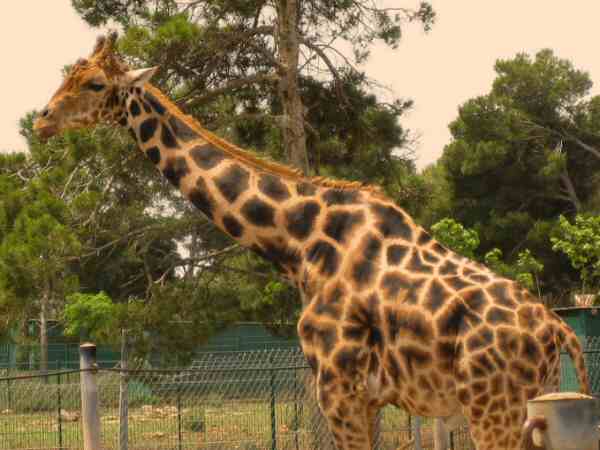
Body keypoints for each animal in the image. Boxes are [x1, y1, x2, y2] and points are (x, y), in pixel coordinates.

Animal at [31, 32, 584, 450]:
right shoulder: (367, 396)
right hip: (535, 398)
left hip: (494, 408)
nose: (41, 120)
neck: (297, 242)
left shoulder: (338, 387)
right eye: (66, 76)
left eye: (95, 83)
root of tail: (560, 331)